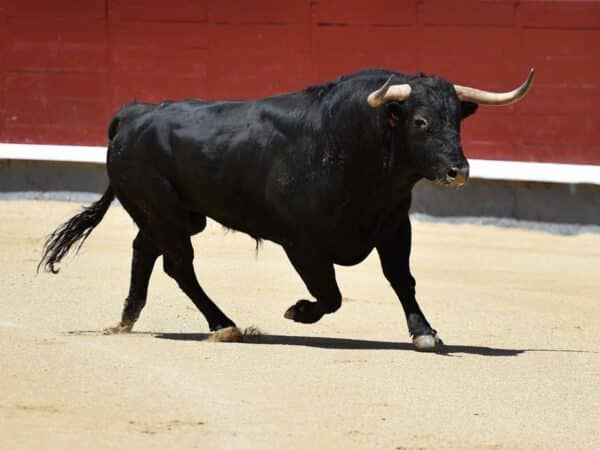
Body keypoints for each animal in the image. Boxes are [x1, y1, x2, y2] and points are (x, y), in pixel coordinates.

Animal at [38, 68, 536, 350]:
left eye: (457, 122)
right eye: (420, 121)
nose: (459, 170)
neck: (357, 147)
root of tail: (134, 114)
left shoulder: (395, 227)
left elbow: (403, 281)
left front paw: (424, 332)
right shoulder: (303, 244)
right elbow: (330, 295)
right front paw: (298, 312)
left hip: (174, 215)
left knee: (145, 250)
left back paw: (127, 319)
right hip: (164, 211)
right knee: (178, 265)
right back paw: (223, 325)